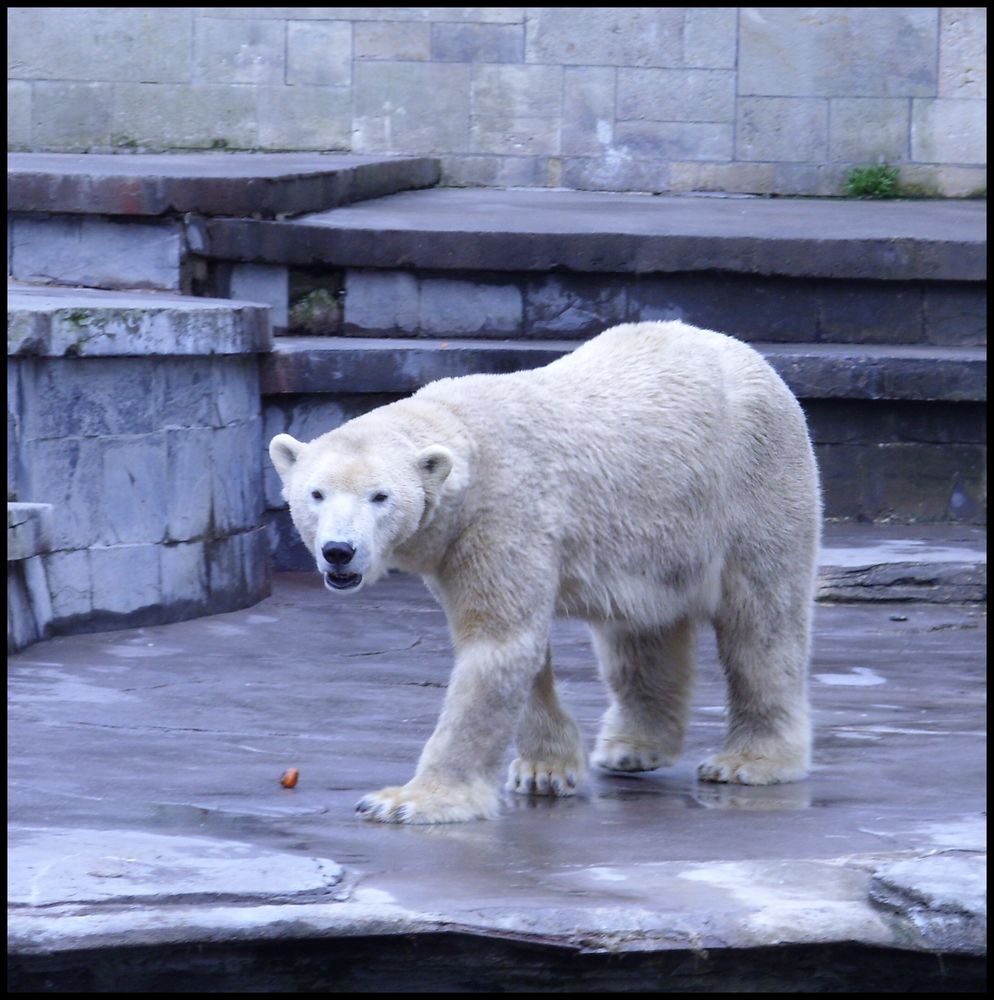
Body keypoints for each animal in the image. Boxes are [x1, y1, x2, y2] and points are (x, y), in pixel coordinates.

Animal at [268, 324, 816, 824]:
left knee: (762, 621)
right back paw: (632, 746)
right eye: (316, 493)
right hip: (654, 532)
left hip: (754, 480)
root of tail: (756, 360)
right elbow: (515, 651)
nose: (339, 552)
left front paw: (407, 801)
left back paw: (750, 761)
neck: (468, 439)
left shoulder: (503, 514)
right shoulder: (456, 549)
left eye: (380, 496)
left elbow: (497, 645)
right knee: (640, 634)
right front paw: (544, 770)